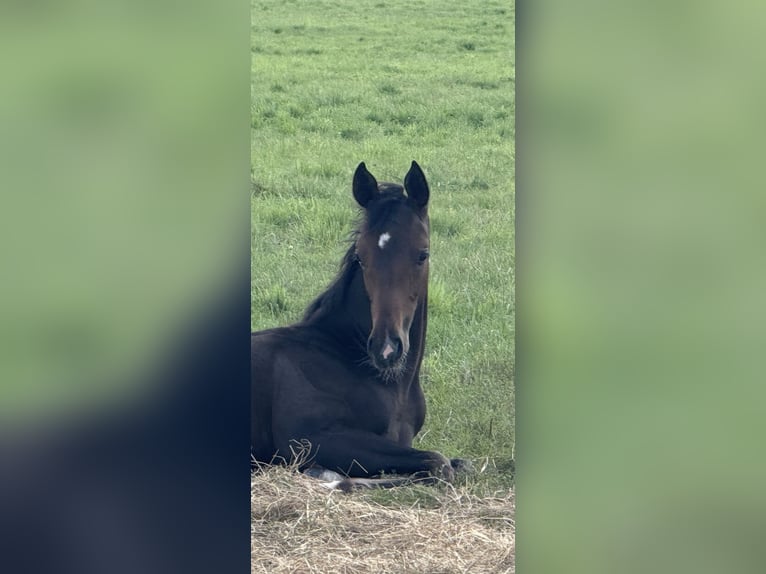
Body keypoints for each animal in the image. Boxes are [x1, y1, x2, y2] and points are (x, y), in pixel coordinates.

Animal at [252, 161, 466, 490]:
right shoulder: (307, 439)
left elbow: (457, 463)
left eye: (423, 254)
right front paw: (328, 477)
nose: (386, 348)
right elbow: (437, 463)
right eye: (361, 257)